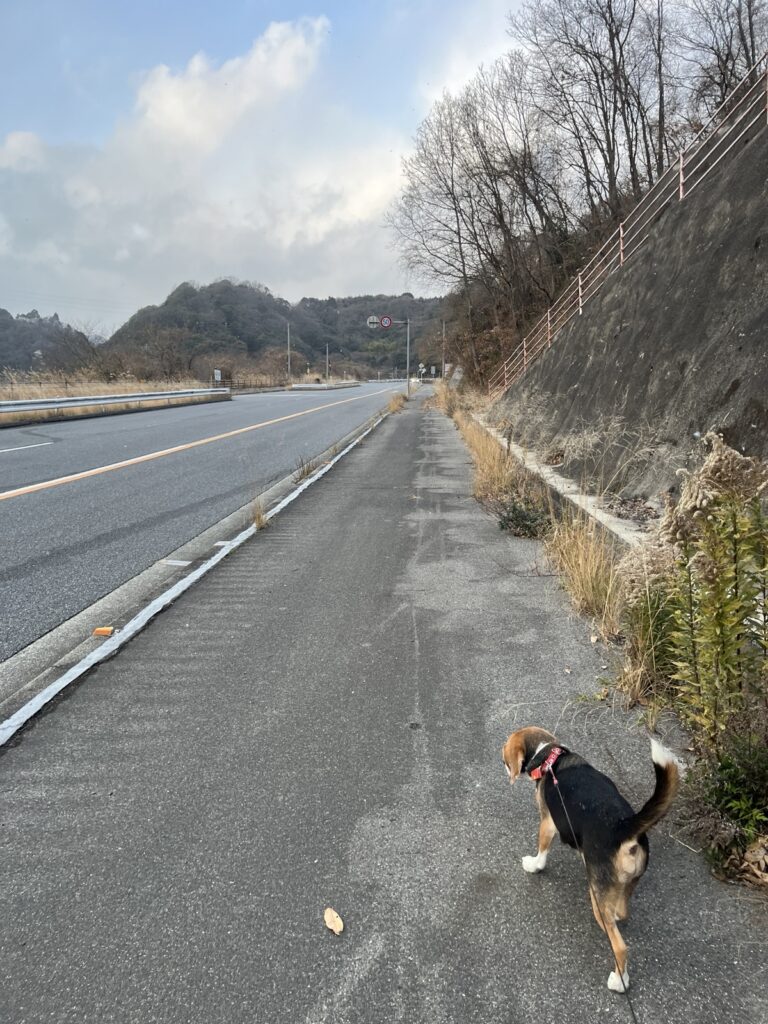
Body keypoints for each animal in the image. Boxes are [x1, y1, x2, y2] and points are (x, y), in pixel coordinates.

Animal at [501, 726, 679, 992]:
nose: (502, 764)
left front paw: (533, 865)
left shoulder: (548, 823)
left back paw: (619, 981)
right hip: (626, 884)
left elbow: (541, 852)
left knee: (620, 947)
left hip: (598, 896)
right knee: (621, 912)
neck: (548, 757)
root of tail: (624, 827)